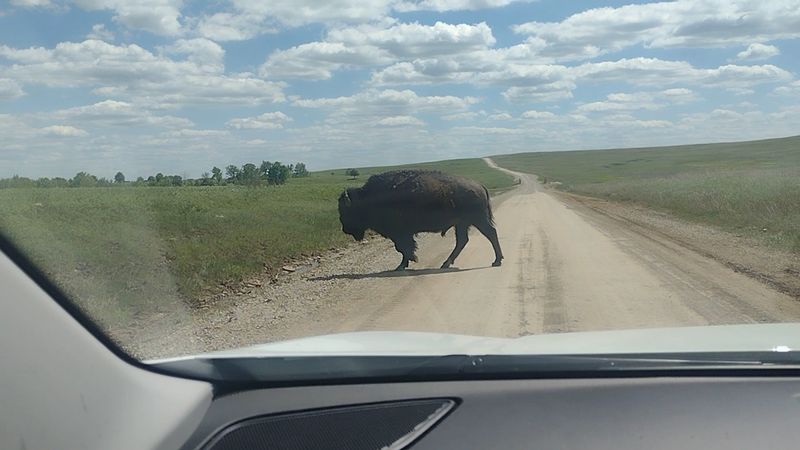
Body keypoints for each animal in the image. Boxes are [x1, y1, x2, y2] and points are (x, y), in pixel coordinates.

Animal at [338, 169, 503, 271]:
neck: (368, 198)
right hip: (462, 224)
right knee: (463, 241)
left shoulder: (401, 233)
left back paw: (497, 261)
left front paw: (407, 262)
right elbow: (403, 248)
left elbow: (403, 248)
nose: (345, 229)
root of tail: (480, 185)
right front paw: (405, 264)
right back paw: (446, 264)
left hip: (477, 220)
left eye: (346, 210)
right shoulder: (402, 234)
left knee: (491, 233)